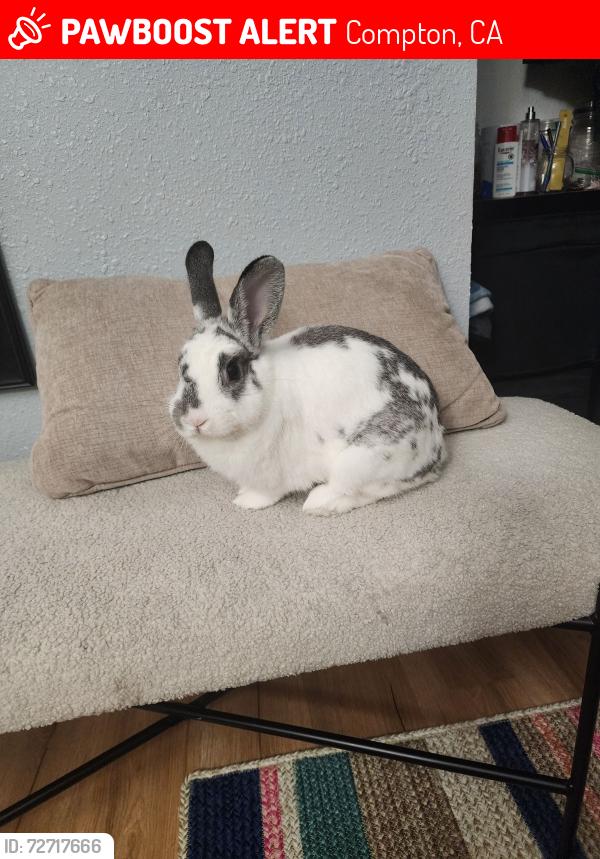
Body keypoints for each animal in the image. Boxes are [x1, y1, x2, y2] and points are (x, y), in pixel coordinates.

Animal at [170, 241, 446, 516]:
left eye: (233, 370)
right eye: (180, 366)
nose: (195, 420)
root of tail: (436, 440)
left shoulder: (271, 474)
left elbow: (266, 493)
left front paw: (245, 501)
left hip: (363, 458)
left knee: (367, 489)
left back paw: (318, 503)